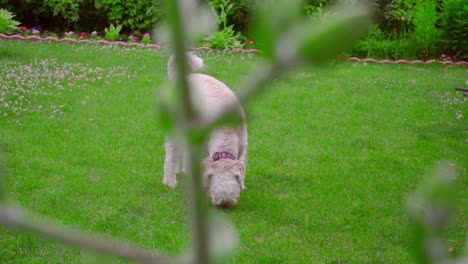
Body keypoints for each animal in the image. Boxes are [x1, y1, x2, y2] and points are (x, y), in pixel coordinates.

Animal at [163, 52, 247, 207]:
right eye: (214, 194)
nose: (226, 205)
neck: (227, 130)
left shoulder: (242, 148)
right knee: (171, 152)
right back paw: (170, 181)